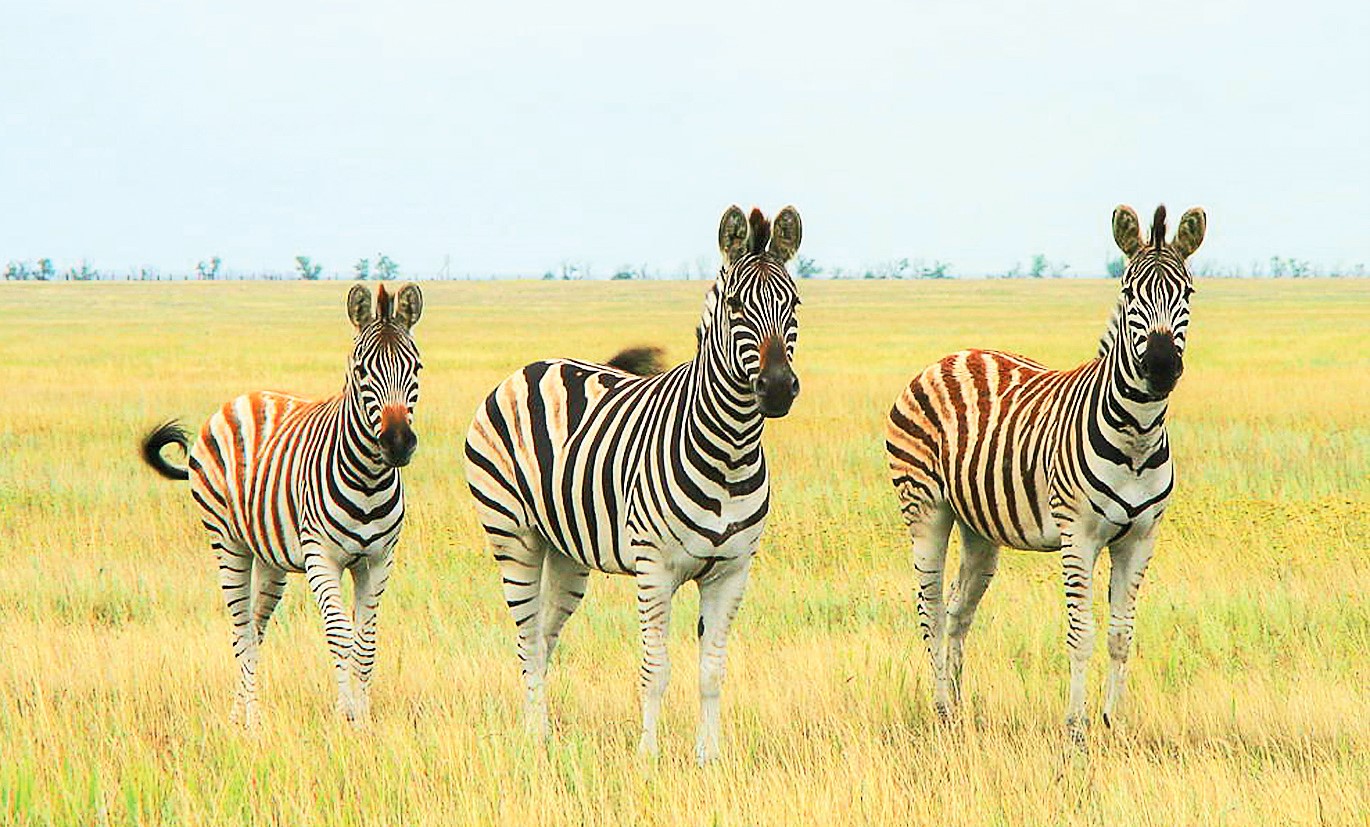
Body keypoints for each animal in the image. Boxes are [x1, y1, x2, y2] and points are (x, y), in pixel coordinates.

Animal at [141, 282, 421, 722]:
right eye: (361, 371)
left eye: (416, 369)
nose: (397, 444)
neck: (369, 479)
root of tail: (244, 396)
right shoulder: (321, 557)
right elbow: (340, 635)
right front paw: (346, 717)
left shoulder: (378, 560)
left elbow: (366, 643)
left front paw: (363, 717)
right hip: (227, 543)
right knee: (241, 629)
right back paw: (252, 721)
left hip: (271, 558)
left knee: (256, 627)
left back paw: (240, 714)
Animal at [465, 205, 800, 761]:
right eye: (734, 305)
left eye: (793, 304)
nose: (776, 389)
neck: (730, 453)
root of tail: (535, 365)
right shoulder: (655, 568)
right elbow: (656, 668)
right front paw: (648, 757)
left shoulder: (733, 571)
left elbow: (713, 671)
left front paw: (709, 758)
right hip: (513, 536)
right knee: (527, 640)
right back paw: (534, 737)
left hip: (567, 554)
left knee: (545, 637)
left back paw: (544, 731)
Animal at [882, 201, 1205, 744]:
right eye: (1128, 293)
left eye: (1187, 294)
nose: (1161, 366)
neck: (1137, 435)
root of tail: (951, 356)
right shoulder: (1079, 534)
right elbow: (1082, 634)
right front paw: (1076, 728)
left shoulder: (1142, 538)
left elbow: (1121, 635)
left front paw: (1112, 723)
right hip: (925, 508)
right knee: (930, 610)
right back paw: (941, 708)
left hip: (978, 527)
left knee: (958, 611)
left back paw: (960, 709)